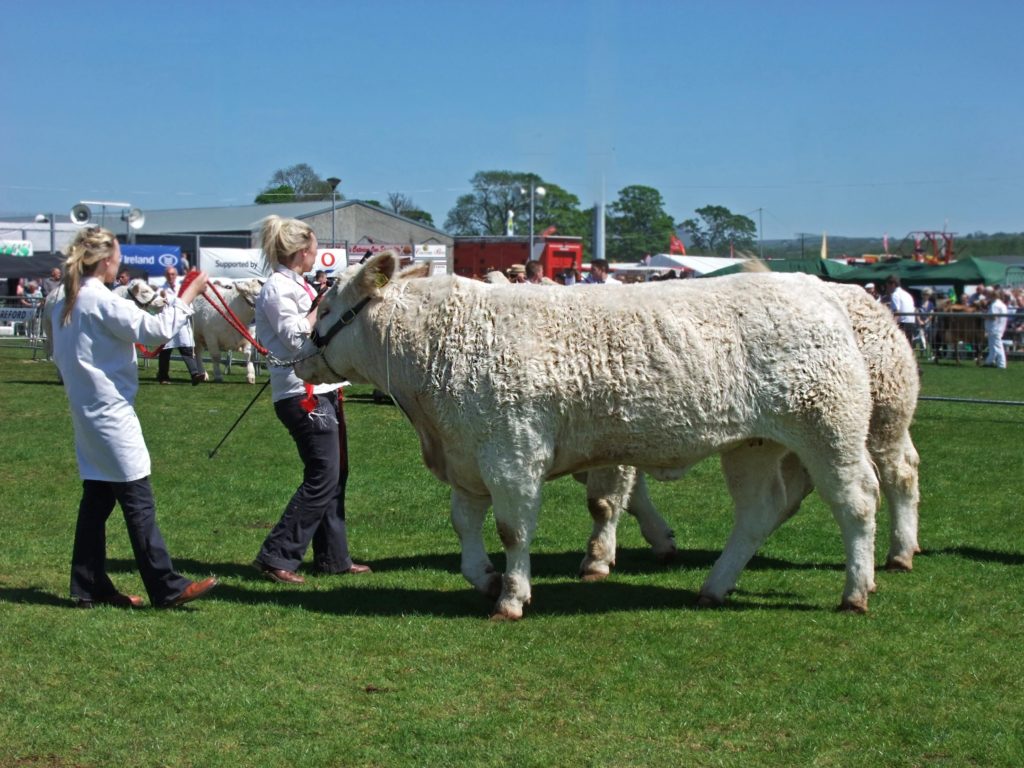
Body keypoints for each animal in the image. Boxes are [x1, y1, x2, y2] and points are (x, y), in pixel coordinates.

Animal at [296, 256, 880, 622]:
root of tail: (817, 291)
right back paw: (714, 587)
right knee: (759, 511)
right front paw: (483, 577)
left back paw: (855, 590)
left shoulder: (512, 452)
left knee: (857, 501)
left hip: (830, 429)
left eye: (324, 308)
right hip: (752, 445)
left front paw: (511, 597)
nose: (298, 353)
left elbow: (513, 530)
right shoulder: (466, 454)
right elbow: (464, 523)